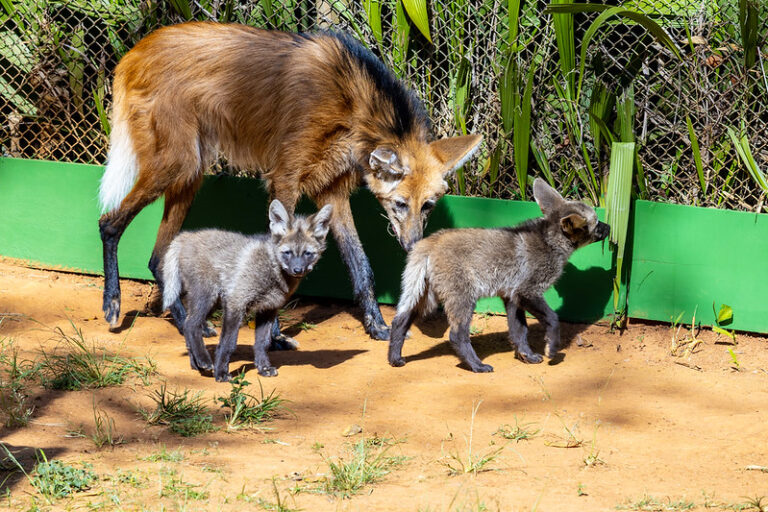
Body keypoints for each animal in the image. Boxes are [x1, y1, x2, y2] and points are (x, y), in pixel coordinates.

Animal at [97, 22, 482, 344]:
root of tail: (135, 50)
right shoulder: (285, 179)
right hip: (177, 164)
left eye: (427, 206)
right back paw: (113, 304)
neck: (352, 108)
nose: (413, 244)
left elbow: (361, 267)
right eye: (400, 204)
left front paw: (378, 327)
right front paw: (273, 335)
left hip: (191, 172)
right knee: (109, 223)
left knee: (157, 257)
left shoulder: (332, 192)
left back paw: (187, 324)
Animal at [161, 200, 332, 381]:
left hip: (212, 304)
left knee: (188, 326)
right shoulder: (236, 303)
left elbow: (262, 344)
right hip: (207, 298)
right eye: (287, 253)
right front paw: (221, 373)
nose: (298, 270)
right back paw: (204, 361)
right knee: (190, 325)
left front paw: (264, 368)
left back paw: (196, 365)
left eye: (308, 253)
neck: (271, 270)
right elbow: (228, 344)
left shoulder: (268, 309)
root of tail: (185, 236)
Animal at [388, 178, 610, 372]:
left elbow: (519, 333)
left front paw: (527, 355)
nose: (609, 227)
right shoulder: (527, 292)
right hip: (463, 300)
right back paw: (477, 366)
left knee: (399, 321)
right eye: (597, 222)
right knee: (456, 335)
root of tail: (429, 242)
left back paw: (394, 358)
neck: (550, 243)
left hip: (425, 299)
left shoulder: (512, 297)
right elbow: (554, 319)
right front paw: (552, 349)